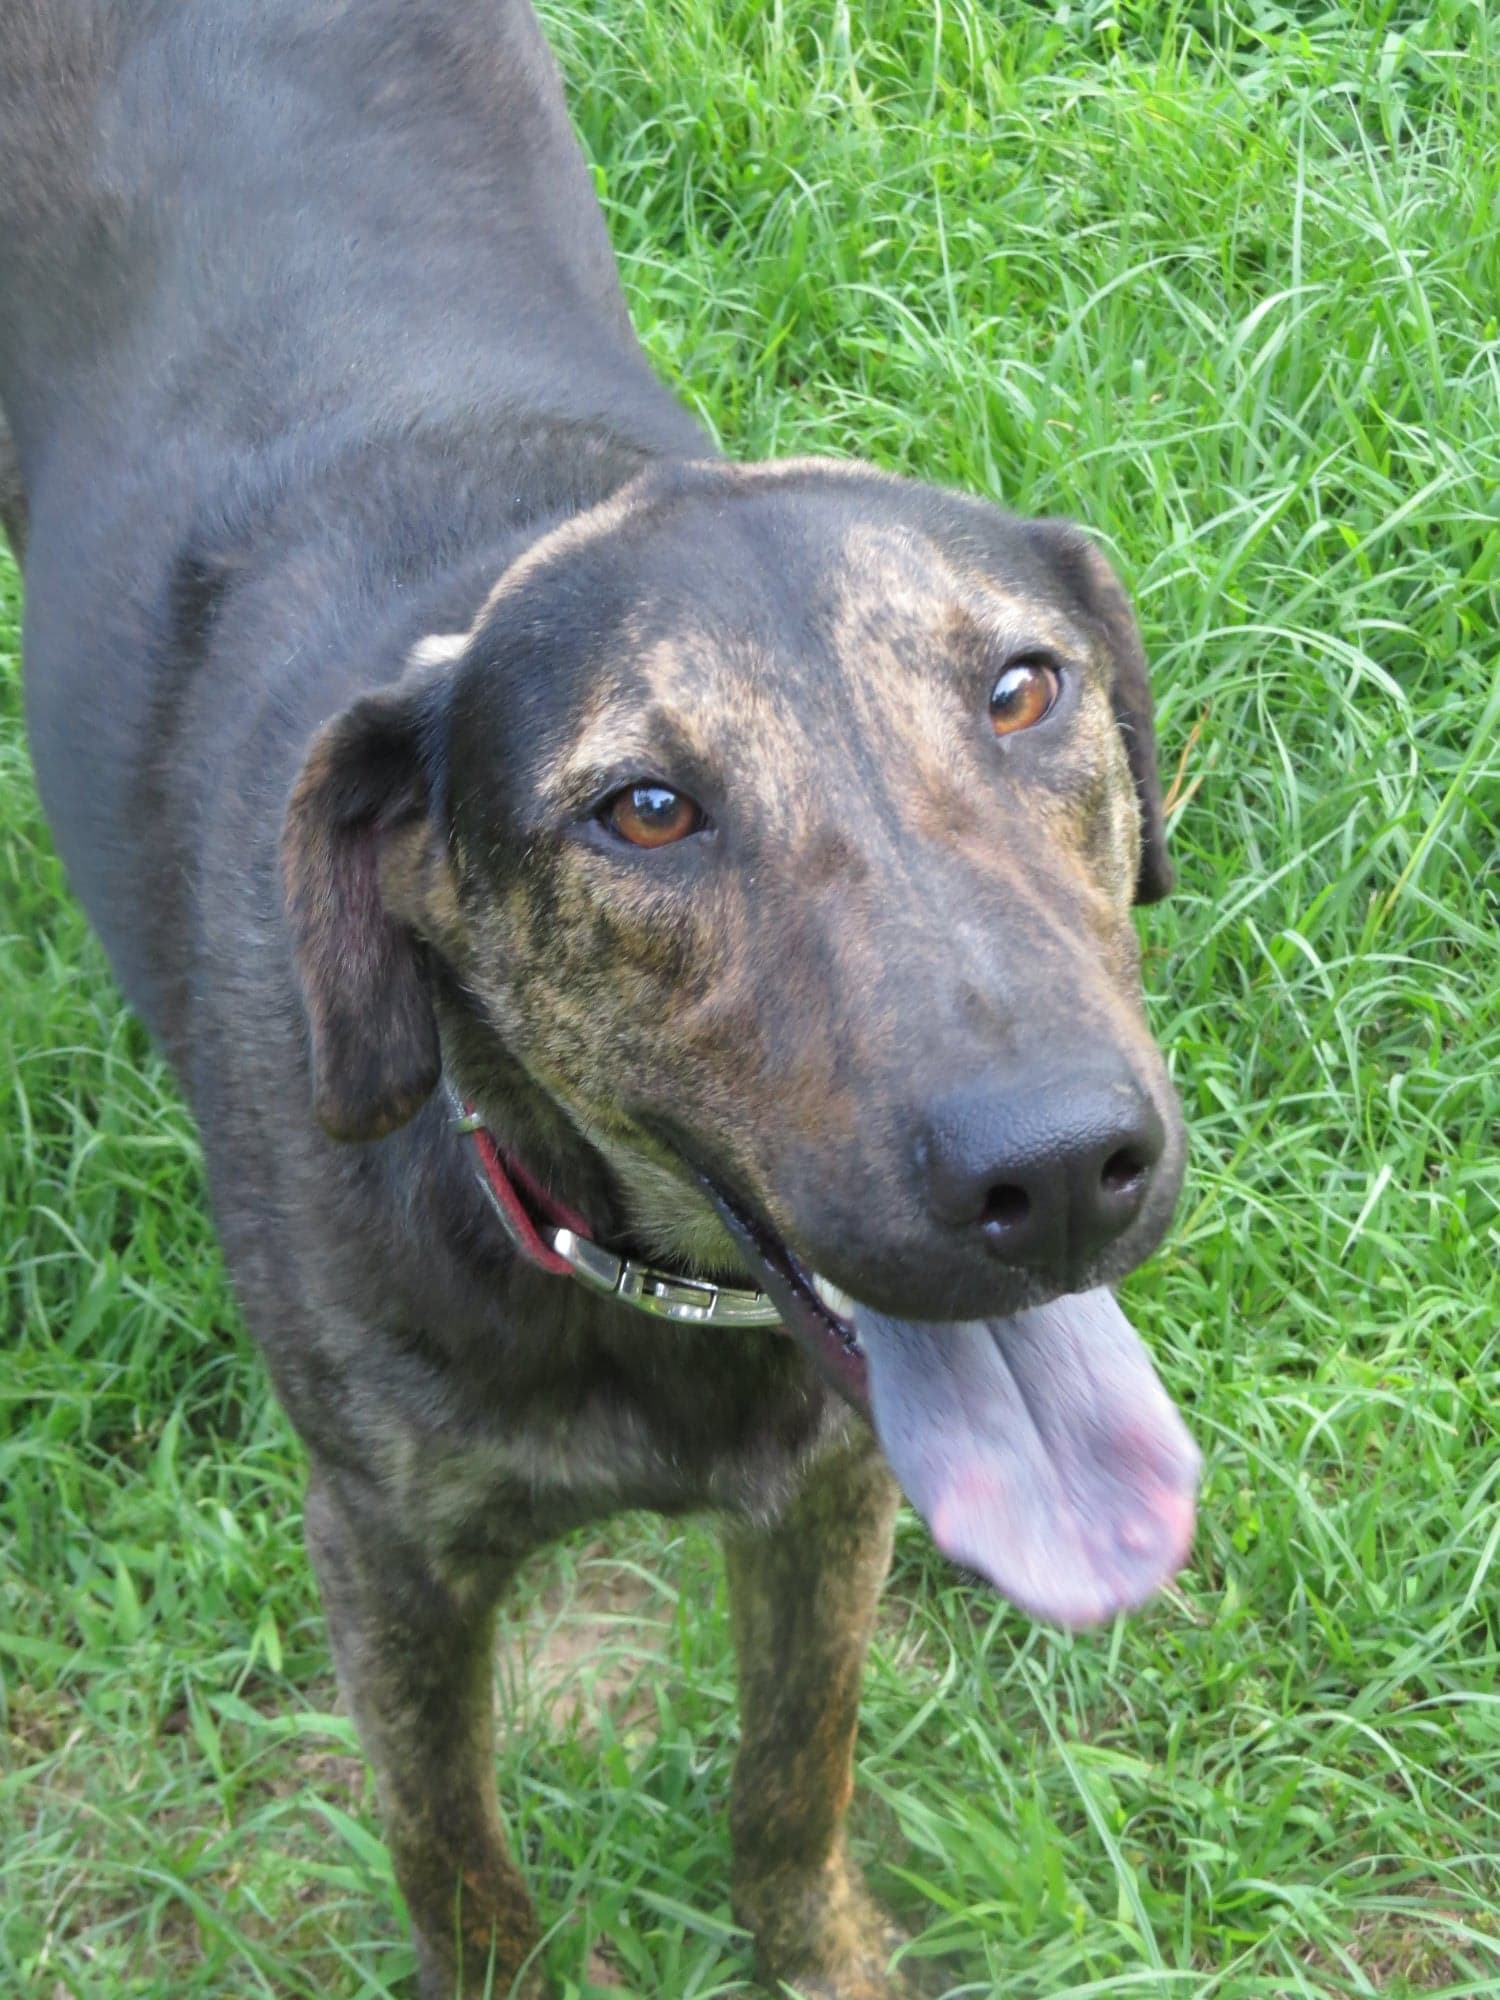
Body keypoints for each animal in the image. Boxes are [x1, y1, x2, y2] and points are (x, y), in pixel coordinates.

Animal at [0, 3, 1200, 2000]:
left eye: (1025, 690)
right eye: (644, 811)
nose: (1055, 1177)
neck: (638, 1292)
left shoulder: (829, 1494)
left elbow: (789, 1785)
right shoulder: (386, 1552)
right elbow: (456, 1861)